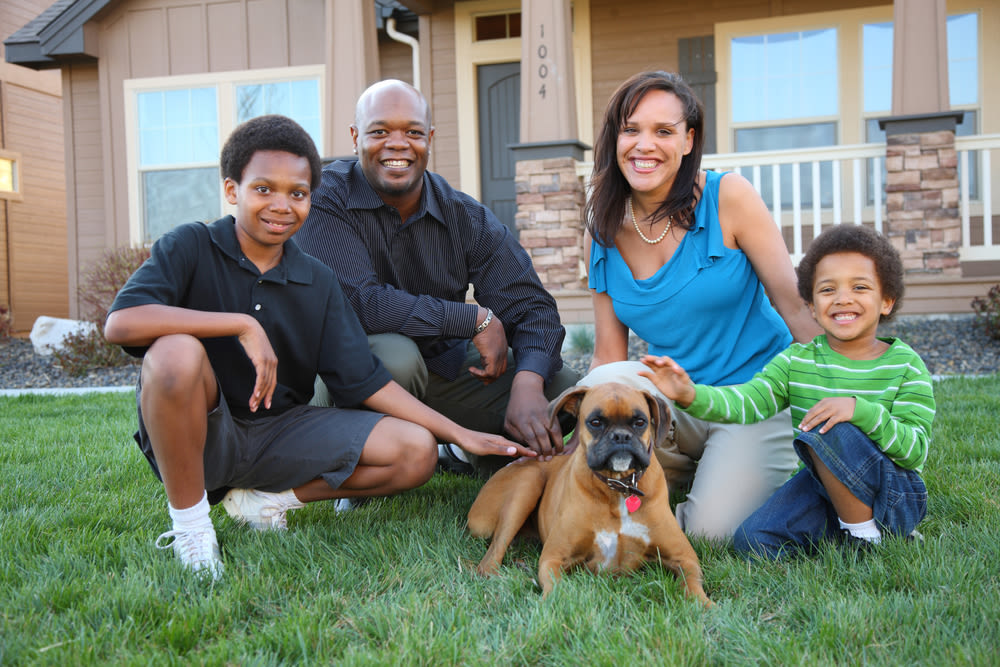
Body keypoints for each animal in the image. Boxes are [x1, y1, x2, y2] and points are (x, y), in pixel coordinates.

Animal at [468, 380, 712, 604]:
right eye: (595, 422)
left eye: (640, 422)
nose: (621, 436)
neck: (618, 487)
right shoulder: (553, 557)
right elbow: (556, 587)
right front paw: (552, 600)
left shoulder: (685, 557)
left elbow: (692, 584)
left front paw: (706, 605)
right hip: (528, 482)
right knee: (490, 558)